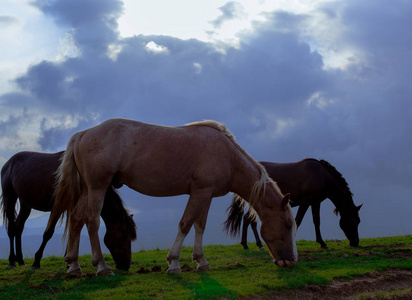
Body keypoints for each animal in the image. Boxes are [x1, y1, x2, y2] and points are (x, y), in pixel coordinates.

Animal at [0, 151, 138, 270]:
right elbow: (48, 233)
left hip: (25, 203)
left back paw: (20, 260)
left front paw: (69, 262)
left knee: (19, 228)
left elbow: (74, 231)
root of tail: (8, 163)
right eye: (124, 236)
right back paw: (12, 261)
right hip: (9, 197)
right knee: (11, 229)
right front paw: (36, 261)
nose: (126, 265)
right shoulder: (58, 207)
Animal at [50, 118, 296, 276]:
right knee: (91, 221)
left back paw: (74, 267)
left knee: (77, 219)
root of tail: (83, 134)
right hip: (98, 187)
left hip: (87, 189)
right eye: (287, 224)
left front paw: (201, 261)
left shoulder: (206, 195)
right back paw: (101, 266)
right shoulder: (199, 192)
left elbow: (199, 225)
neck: (228, 156)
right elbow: (185, 224)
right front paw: (174, 263)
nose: (290, 260)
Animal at [224, 159, 362, 248]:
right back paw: (247, 244)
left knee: (249, 220)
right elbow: (298, 220)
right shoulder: (306, 201)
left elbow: (316, 221)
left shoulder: (315, 202)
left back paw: (256, 244)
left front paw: (322, 243)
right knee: (248, 219)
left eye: (359, 221)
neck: (322, 176)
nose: (356, 242)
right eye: (353, 221)